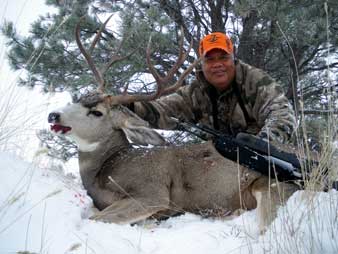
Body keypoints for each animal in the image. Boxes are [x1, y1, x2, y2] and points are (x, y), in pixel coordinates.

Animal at [47, 19, 298, 231]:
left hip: (272, 187)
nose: (53, 115)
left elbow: (94, 218)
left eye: (97, 112)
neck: (107, 166)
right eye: (79, 97)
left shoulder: (152, 193)